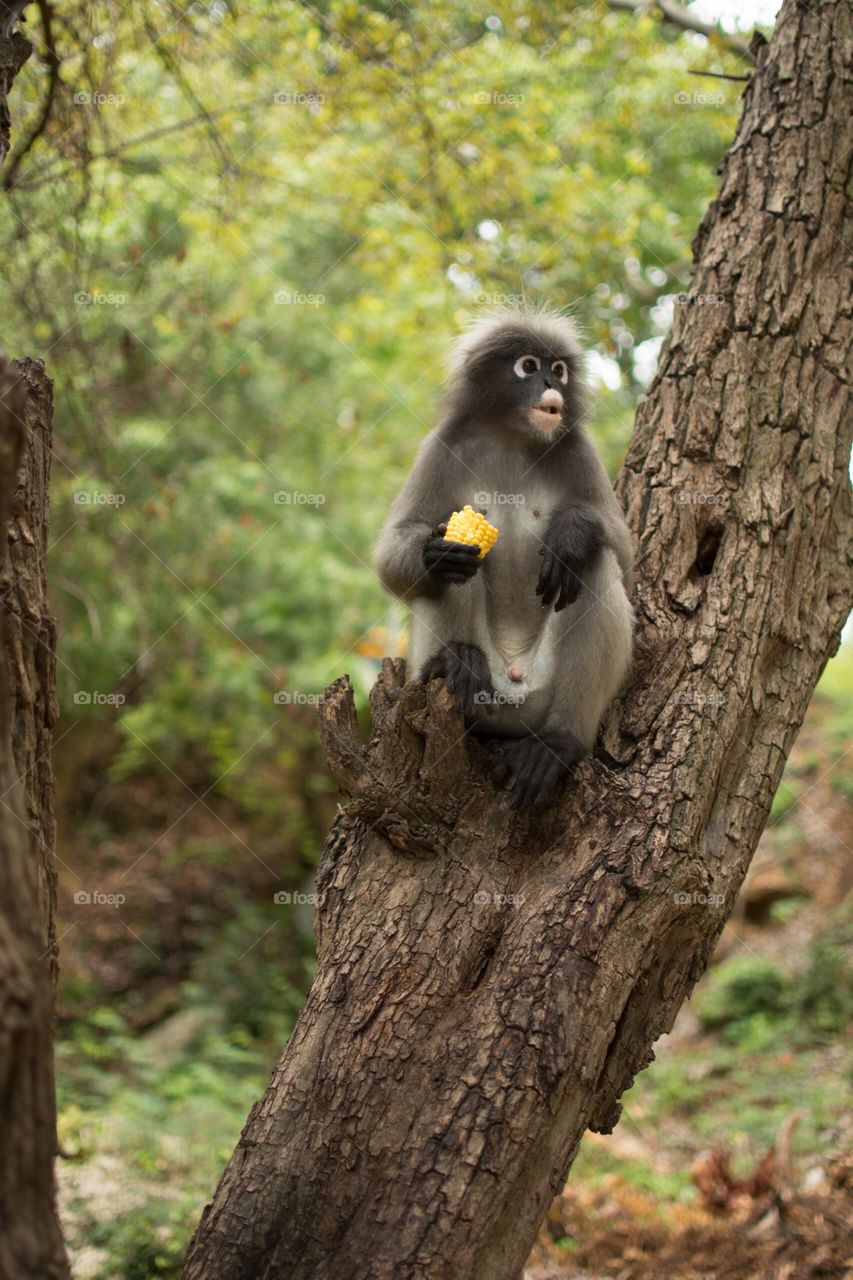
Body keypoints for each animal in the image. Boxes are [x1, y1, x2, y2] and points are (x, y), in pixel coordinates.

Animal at [374, 307, 634, 809]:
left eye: (559, 370)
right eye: (528, 367)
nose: (550, 386)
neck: (514, 437)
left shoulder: (579, 449)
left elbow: (626, 554)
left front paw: (572, 533)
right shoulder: (440, 446)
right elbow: (392, 555)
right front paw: (434, 553)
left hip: (543, 690)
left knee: (594, 567)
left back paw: (558, 742)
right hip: (481, 688)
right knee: (455, 576)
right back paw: (452, 661)